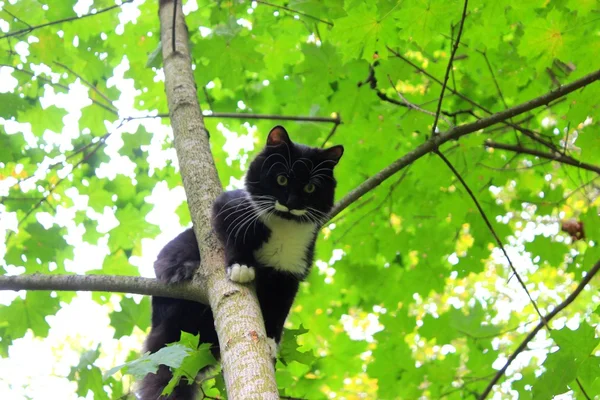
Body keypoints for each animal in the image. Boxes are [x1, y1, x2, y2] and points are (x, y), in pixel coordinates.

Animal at [137, 126, 342, 400]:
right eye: (282, 180)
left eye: (310, 187)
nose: (291, 203)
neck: (283, 225)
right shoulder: (227, 205)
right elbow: (234, 238)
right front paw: (241, 268)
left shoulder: (290, 271)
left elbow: (279, 309)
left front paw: (269, 340)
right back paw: (182, 270)